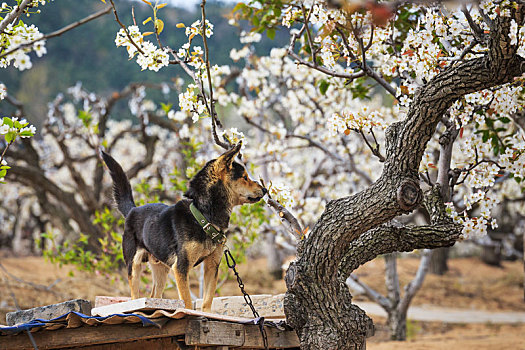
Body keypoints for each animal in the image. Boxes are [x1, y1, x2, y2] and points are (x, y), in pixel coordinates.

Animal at [101, 142, 266, 312]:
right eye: (245, 177)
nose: (265, 190)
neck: (203, 217)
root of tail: (132, 210)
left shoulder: (212, 267)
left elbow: (207, 300)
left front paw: (207, 314)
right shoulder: (181, 267)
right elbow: (186, 301)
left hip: (161, 270)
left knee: (154, 295)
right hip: (134, 266)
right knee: (135, 295)